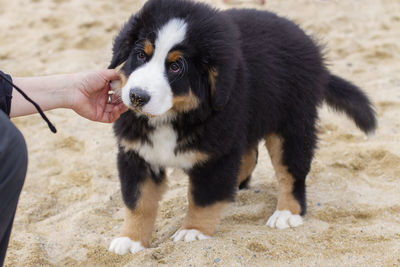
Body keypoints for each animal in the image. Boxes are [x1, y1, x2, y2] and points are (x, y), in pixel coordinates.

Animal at [106, 0, 376, 255]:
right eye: (141, 55)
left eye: (175, 66)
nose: (137, 96)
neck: (171, 117)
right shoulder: (137, 154)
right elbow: (139, 202)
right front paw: (130, 240)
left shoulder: (216, 155)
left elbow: (202, 198)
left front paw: (193, 231)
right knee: (248, 156)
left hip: (291, 126)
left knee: (290, 171)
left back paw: (287, 213)